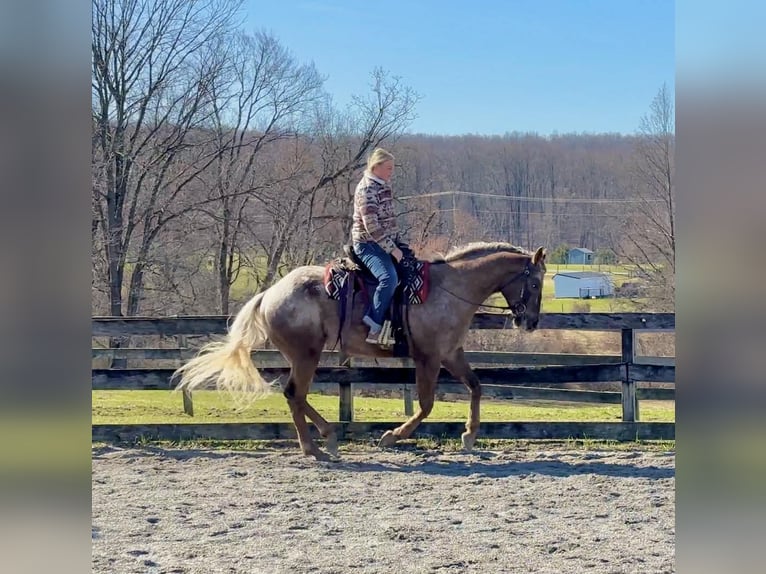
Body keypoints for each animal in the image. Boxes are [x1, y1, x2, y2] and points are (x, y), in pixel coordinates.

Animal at [174, 242, 547, 460]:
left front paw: (469, 436)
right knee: (295, 394)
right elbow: (426, 405)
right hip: (306, 355)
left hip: (304, 356)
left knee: (294, 395)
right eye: (536, 282)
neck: (450, 289)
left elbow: (476, 387)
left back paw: (323, 439)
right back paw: (317, 445)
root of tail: (269, 294)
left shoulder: (451, 353)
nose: (529, 322)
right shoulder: (428, 357)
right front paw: (392, 436)